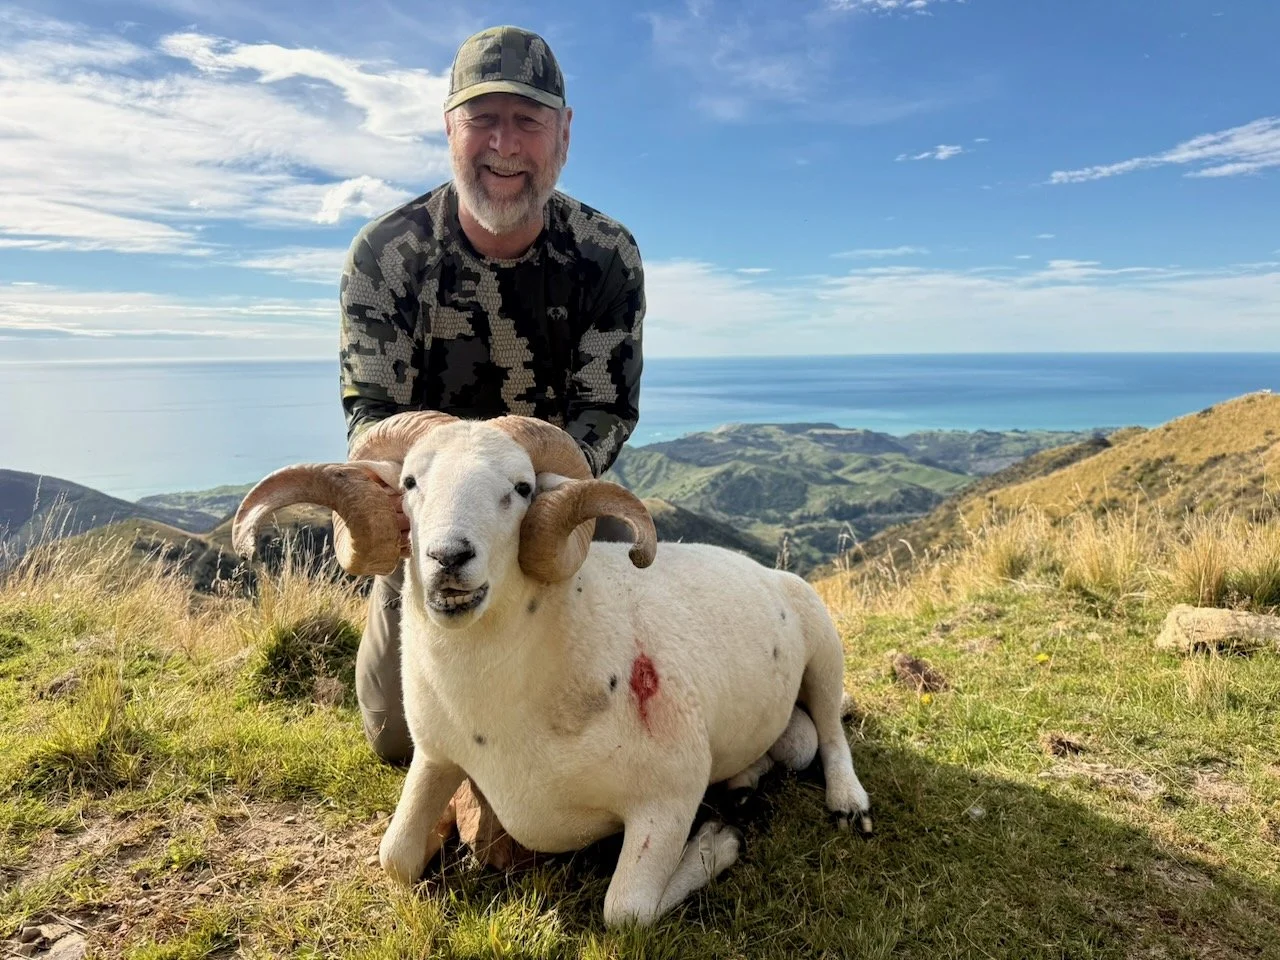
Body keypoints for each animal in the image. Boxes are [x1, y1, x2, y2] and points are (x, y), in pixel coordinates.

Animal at [231, 410, 872, 928]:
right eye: (410, 483)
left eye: (521, 488)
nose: (448, 557)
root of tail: (765, 570)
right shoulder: (436, 757)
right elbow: (395, 857)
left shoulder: (669, 796)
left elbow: (626, 911)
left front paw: (721, 840)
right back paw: (744, 783)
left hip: (823, 645)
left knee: (832, 732)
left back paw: (847, 804)